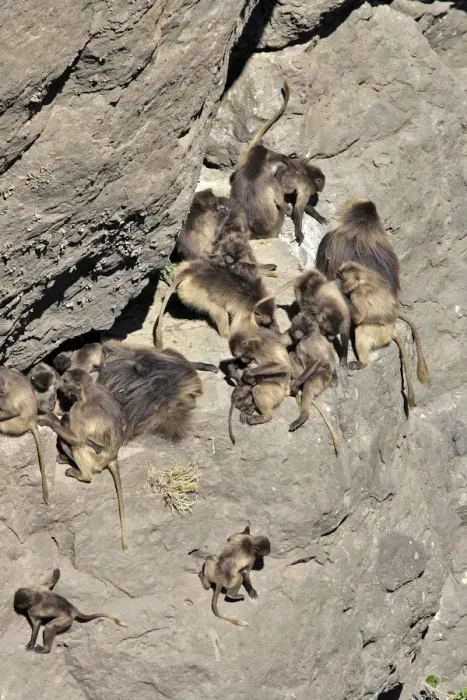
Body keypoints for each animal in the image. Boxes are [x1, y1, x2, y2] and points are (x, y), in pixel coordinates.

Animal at [0, 368, 49, 504]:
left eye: (1, 390)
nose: (2, 391)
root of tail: (32, 420)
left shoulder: (5, 397)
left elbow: (12, 411)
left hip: (17, 423)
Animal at [37, 369, 128, 553]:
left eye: (65, 381)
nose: (60, 387)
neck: (88, 391)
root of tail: (113, 456)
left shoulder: (78, 410)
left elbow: (77, 438)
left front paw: (48, 421)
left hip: (95, 458)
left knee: (77, 445)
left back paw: (82, 474)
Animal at [281, 312, 341, 453]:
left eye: (301, 330)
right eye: (296, 329)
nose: (297, 334)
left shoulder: (308, 339)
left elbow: (317, 359)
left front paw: (297, 385)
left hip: (322, 378)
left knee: (309, 381)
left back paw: (303, 414)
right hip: (301, 370)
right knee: (292, 354)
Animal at [337, 262, 430, 408]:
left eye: (342, 279)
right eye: (338, 276)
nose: (338, 283)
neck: (362, 279)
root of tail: (391, 331)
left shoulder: (359, 294)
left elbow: (359, 318)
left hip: (380, 334)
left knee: (362, 328)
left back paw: (363, 363)